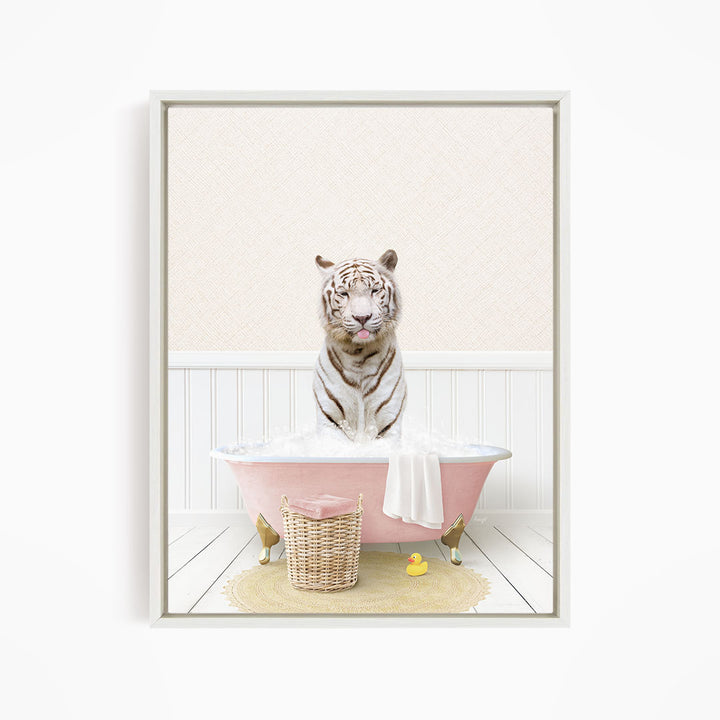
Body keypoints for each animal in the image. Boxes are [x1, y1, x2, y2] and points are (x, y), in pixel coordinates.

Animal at [313, 249, 407, 442]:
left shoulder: (388, 421)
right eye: (344, 293)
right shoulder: (330, 419)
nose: (362, 317)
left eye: (375, 290)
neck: (359, 355)